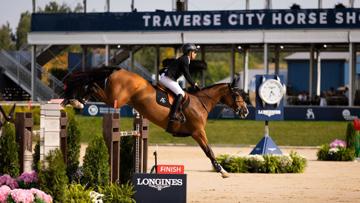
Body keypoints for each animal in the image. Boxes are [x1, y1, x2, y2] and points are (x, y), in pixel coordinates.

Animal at [62, 67, 248, 178]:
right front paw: (222, 171)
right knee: (93, 86)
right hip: (116, 99)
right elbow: (209, 151)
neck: (201, 102)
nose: (245, 111)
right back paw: (75, 100)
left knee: (92, 85)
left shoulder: (197, 132)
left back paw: (75, 101)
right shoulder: (198, 132)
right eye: (237, 95)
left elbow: (209, 151)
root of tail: (119, 70)